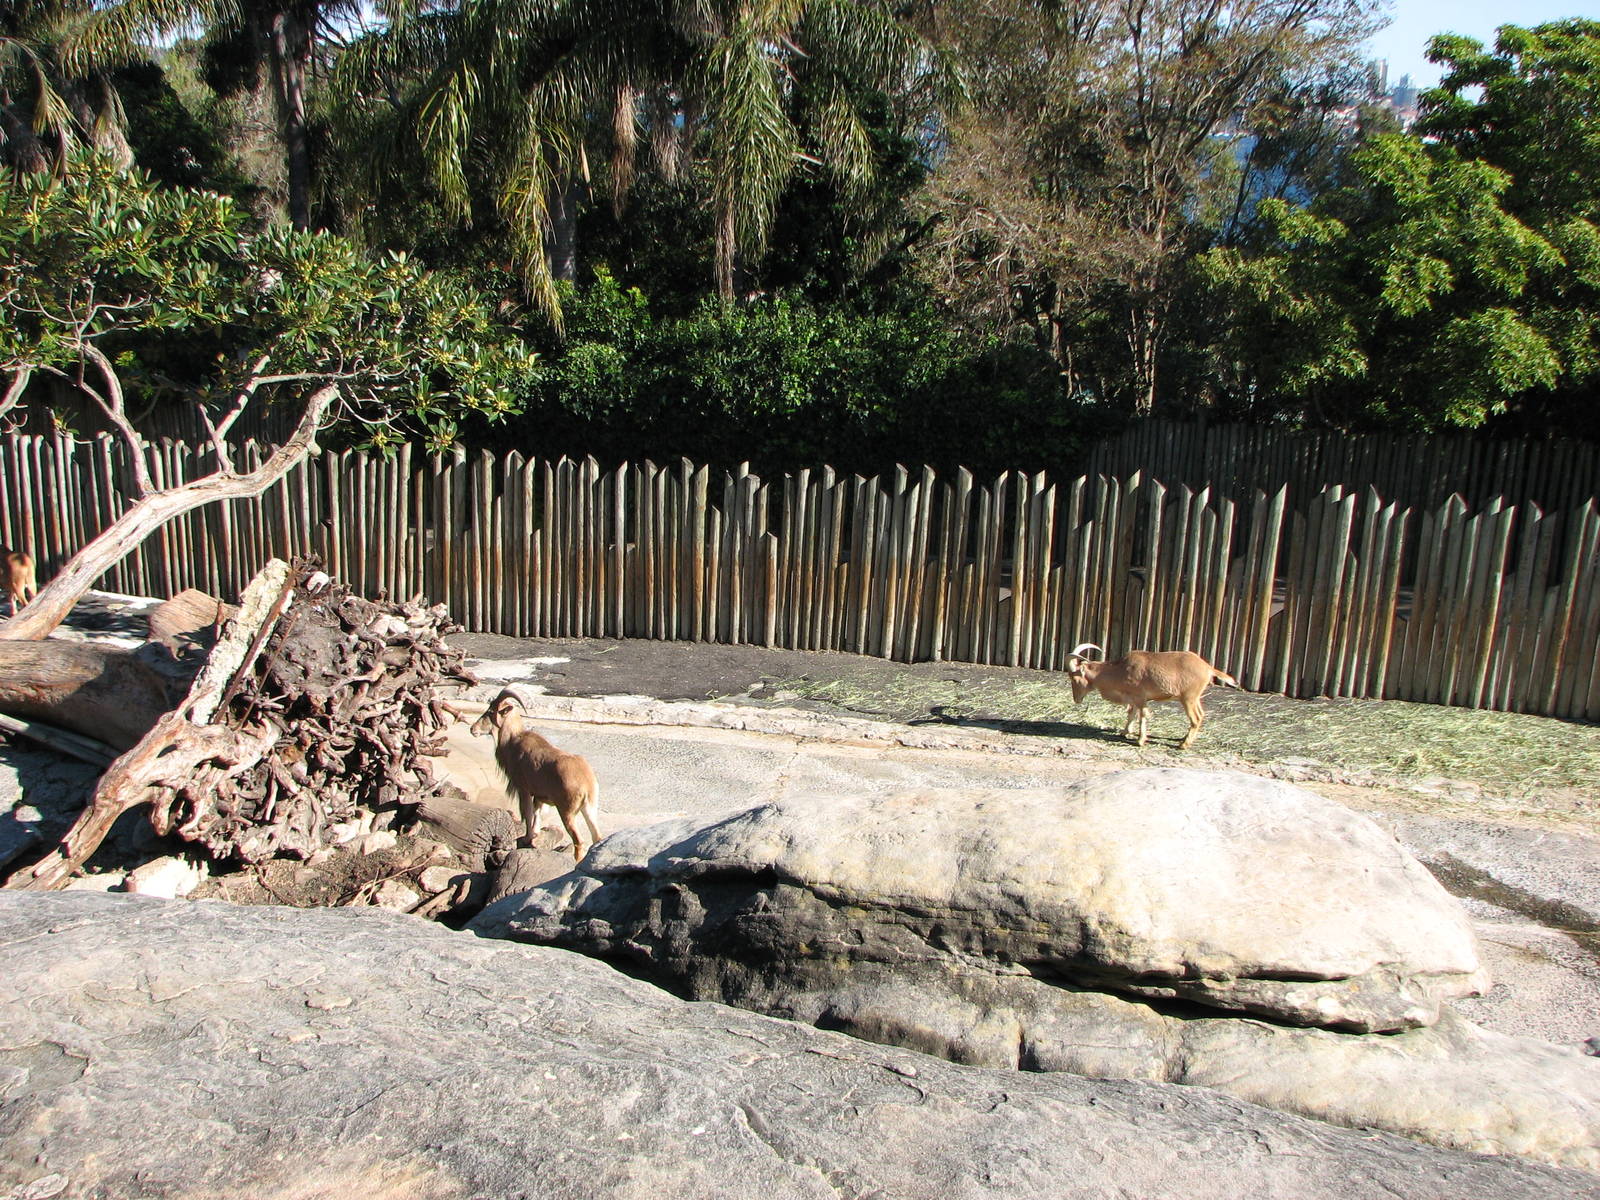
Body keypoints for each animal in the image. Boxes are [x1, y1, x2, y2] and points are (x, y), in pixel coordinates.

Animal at [470, 688, 602, 862]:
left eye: (491, 711)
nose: (473, 729)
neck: (512, 742)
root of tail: (587, 784)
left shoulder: (523, 789)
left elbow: (527, 812)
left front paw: (527, 838)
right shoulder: (539, 796)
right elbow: (536, 813)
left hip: (566, 812)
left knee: (579, 841)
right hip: (589, 808)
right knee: (596, 837)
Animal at [1064, 642, 1239, 750]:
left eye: (1074, 678)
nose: (1076, 699)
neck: (1120, 670)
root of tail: (1208, 668)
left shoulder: (1141, 698)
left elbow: (1142, 716)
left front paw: (1140, 741)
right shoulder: (1133, 698)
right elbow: (1131, 713)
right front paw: (1124, 732)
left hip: (1188, 698)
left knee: (1196, 718)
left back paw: (1183, 745)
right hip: (1194, 699)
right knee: (1200, 716)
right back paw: (1183, 739)